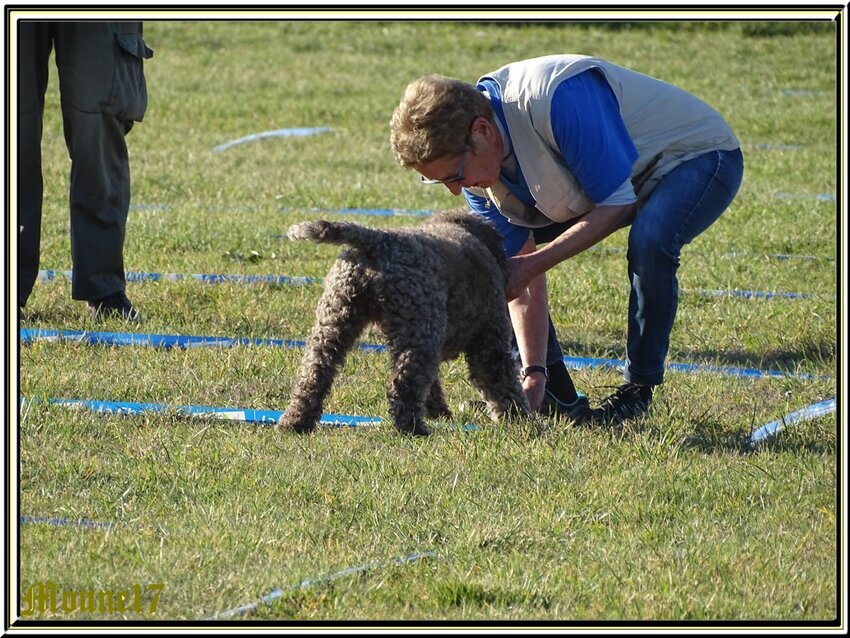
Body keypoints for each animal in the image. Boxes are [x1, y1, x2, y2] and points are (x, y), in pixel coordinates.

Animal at [278, 212, 528, 438]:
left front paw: (438, 412)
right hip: (420, 331)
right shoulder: (488, 341)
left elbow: (434, 384)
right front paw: (519, 417)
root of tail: (378, 240)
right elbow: (501, 380)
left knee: (314, 374)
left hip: (336, 321)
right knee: (404, 384)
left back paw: (295, 422)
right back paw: (413, 428)